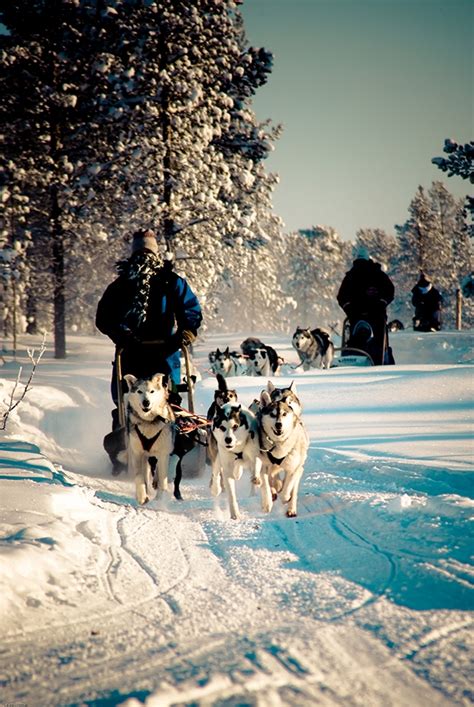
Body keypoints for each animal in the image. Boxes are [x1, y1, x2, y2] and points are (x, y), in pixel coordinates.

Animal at [122, 374, 176, 506]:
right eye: (139, 391)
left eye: (152, 391)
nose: (146, 402)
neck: (148, 422)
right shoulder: (137, 453)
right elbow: (139, 477)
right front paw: (142, 496)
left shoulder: (163, 454)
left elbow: (162, 479)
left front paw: (160, 498)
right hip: (144, 456)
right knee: (145, 474)